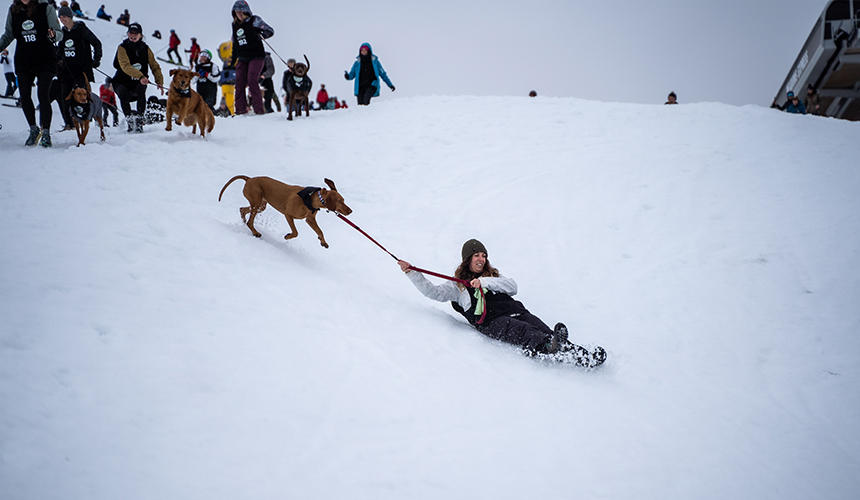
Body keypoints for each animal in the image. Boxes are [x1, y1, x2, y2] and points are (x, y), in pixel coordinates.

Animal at [218, 176, 352, 248]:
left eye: (344, 200)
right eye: (340, 201)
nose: (351, 211)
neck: (310, 199)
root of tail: (249, 179)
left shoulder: (310, 219)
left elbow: (320, 231)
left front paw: (323, 241)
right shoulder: (288, 215)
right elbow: (296, 232)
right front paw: (288, 236)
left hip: (261, 205)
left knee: (242, 210)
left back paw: (245, 222)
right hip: (256, 203)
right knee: (250, 222)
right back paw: (255, 232)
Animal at [334, 212, 488, 324]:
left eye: (483, 256)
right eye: (477, 256)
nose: (482, 259)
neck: (470, 275)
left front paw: (479, 282)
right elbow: (434, 291)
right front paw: (407, 267)